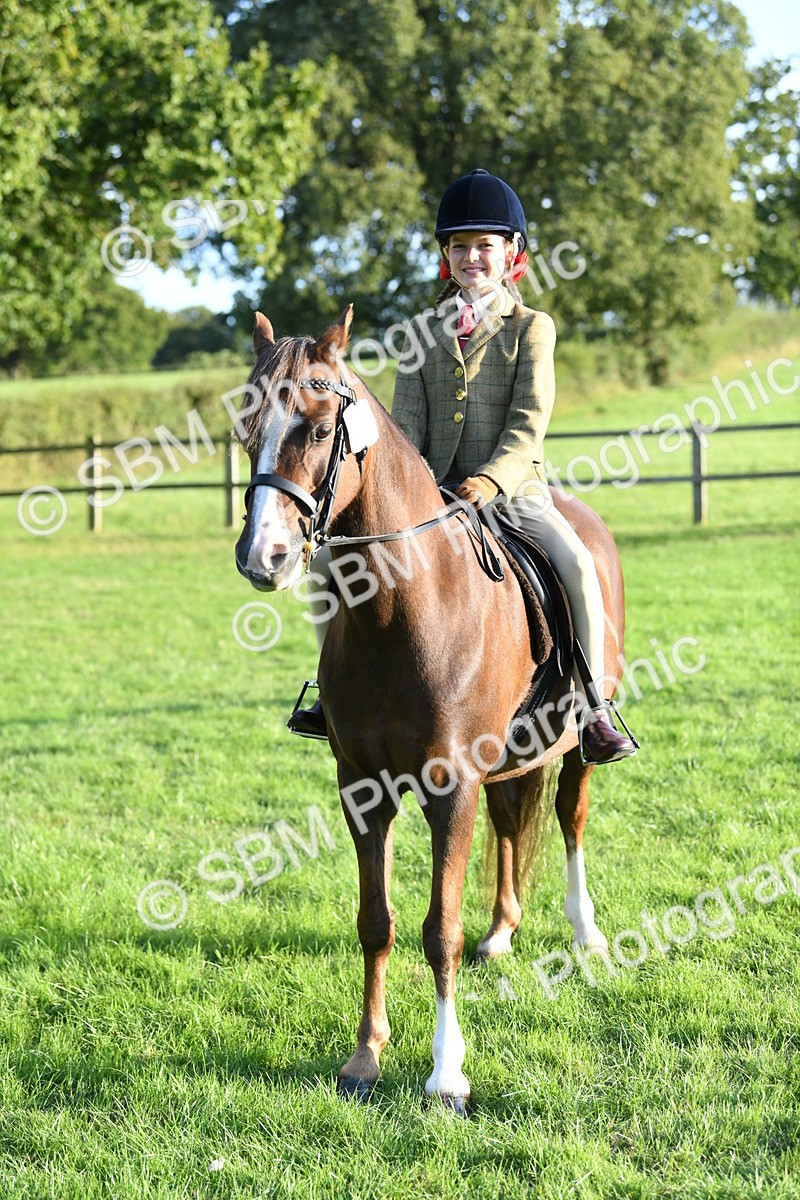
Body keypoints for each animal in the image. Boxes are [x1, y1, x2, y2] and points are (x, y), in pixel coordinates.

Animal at [234, 305, 626, 1114]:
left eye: (317, 430)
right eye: (247, 431)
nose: (265, 558)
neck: (399, 613)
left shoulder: (450, 787)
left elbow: (438, 927)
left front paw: (447, 1074)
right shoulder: (363, 788)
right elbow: (376, 922)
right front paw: (365, 1057)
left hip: (576, 746)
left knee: (570, 821)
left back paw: (586, 934)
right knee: (511, 822)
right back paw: (502, 932)